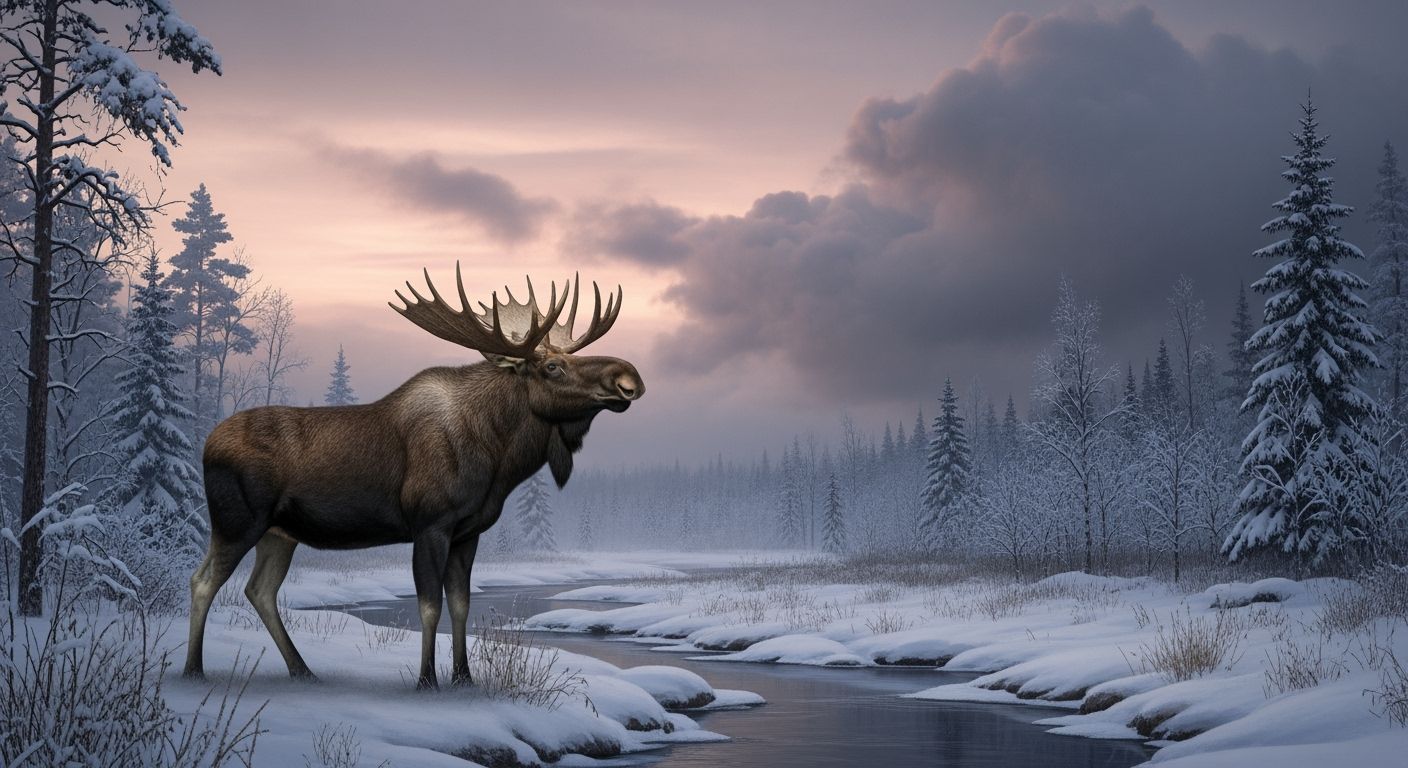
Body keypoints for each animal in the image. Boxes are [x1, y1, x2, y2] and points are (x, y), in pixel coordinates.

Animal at [182, 267, 644, 689]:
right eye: (552, 367)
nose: (629, 378)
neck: (498, 456)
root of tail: (206, 444)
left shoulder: (468, 532)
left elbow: (461, 604)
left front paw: (464, 678)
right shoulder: (430, 525)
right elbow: (430, 606)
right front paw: (427, 680)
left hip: (280, 533)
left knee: (260, 590)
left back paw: (303, 670)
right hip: (237, 521)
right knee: (203, 580)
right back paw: (193, 670)